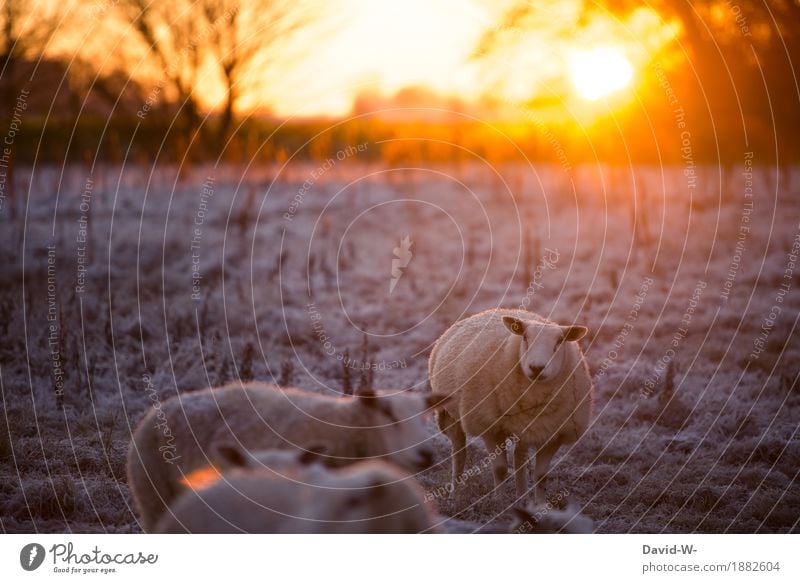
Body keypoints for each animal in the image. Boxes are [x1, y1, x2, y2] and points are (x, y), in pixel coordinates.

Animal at [428, 308, 592, 504]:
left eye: (560, 341)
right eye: (525, 337)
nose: (536, 367)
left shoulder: (553, 433)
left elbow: (541, 475)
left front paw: (540, 505)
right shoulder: (490, 426)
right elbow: (500, 469)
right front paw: (498, 501)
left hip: (523, 428)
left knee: (519, 458)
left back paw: (521, 497)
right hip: (449, 413)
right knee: (459, 451)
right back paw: (456, 495)